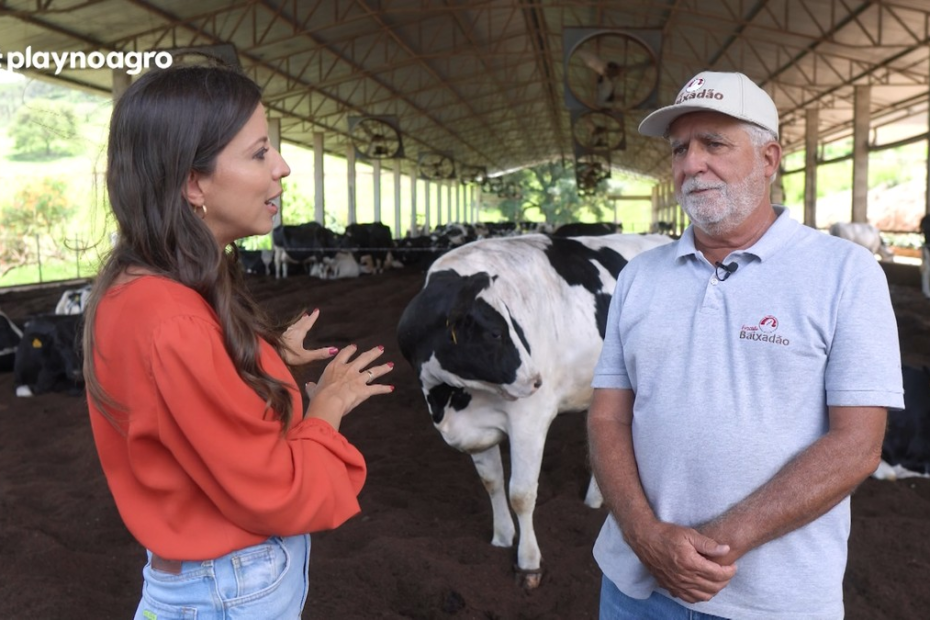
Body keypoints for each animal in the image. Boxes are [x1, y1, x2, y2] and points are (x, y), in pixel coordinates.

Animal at [396, 231, 672, 588]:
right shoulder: (475, 430)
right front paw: (501, 538)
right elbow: (492, 482)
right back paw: (594, 501)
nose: (536, 379)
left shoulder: (530, 420)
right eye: (495, 332)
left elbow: (521, 493)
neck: (449, 398)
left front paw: (528, 563)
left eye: (515, 327)